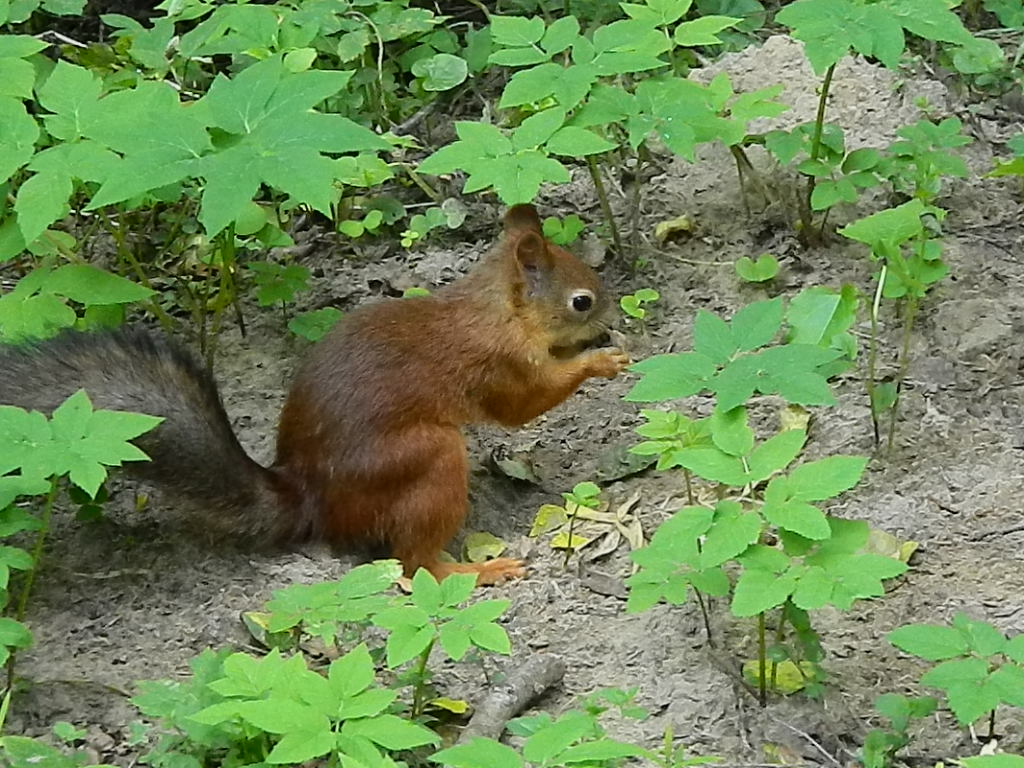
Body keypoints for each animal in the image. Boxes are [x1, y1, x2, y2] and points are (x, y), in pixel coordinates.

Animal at [0, 204, 626, 581]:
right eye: (581, 302)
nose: (613, 320)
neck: (496, 308)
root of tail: (308, 498)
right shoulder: (499, 365)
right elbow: (521, 407)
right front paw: (601, 361)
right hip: (425, 459)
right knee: (413, 563)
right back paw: (474, 572)